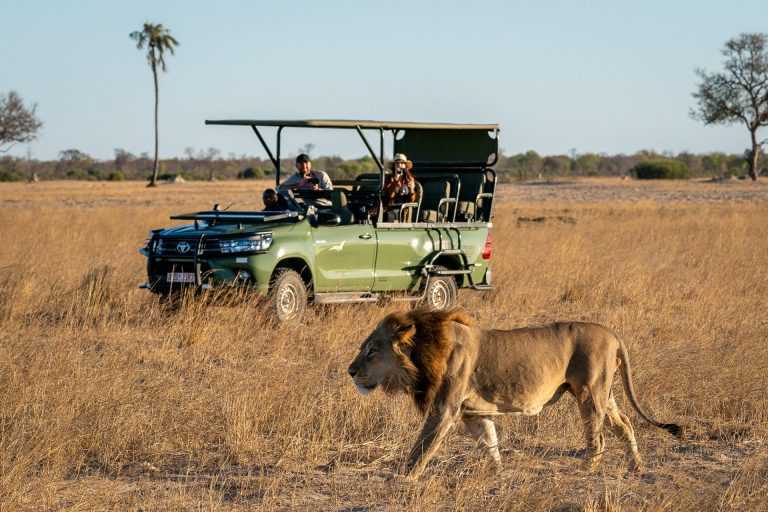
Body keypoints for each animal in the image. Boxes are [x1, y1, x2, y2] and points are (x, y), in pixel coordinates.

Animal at [347, 309, 682, 478]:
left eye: (372, 351)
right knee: (624, 425)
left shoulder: (445, 409)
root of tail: (612, 333)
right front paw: (498, 471)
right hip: (604, 393)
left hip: (590, 393)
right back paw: (636, 467)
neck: (425, 353)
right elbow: (489, 442)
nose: (350, 371)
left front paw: (404, 477)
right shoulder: (474, 413)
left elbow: (423, 446)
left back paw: (586, 470)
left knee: (597, 439)